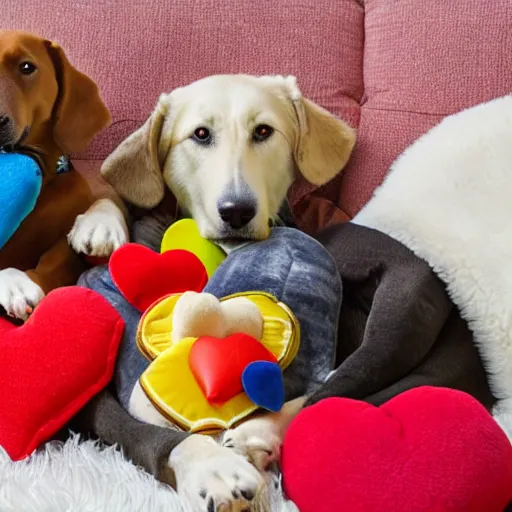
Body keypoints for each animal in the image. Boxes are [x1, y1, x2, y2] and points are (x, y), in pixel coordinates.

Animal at [101, 75, 354, 512]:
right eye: (201, 134)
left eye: (263, 131)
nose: (236, 210)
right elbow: (156, 433)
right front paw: (211, 466)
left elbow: (320, 387)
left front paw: (259, 432)